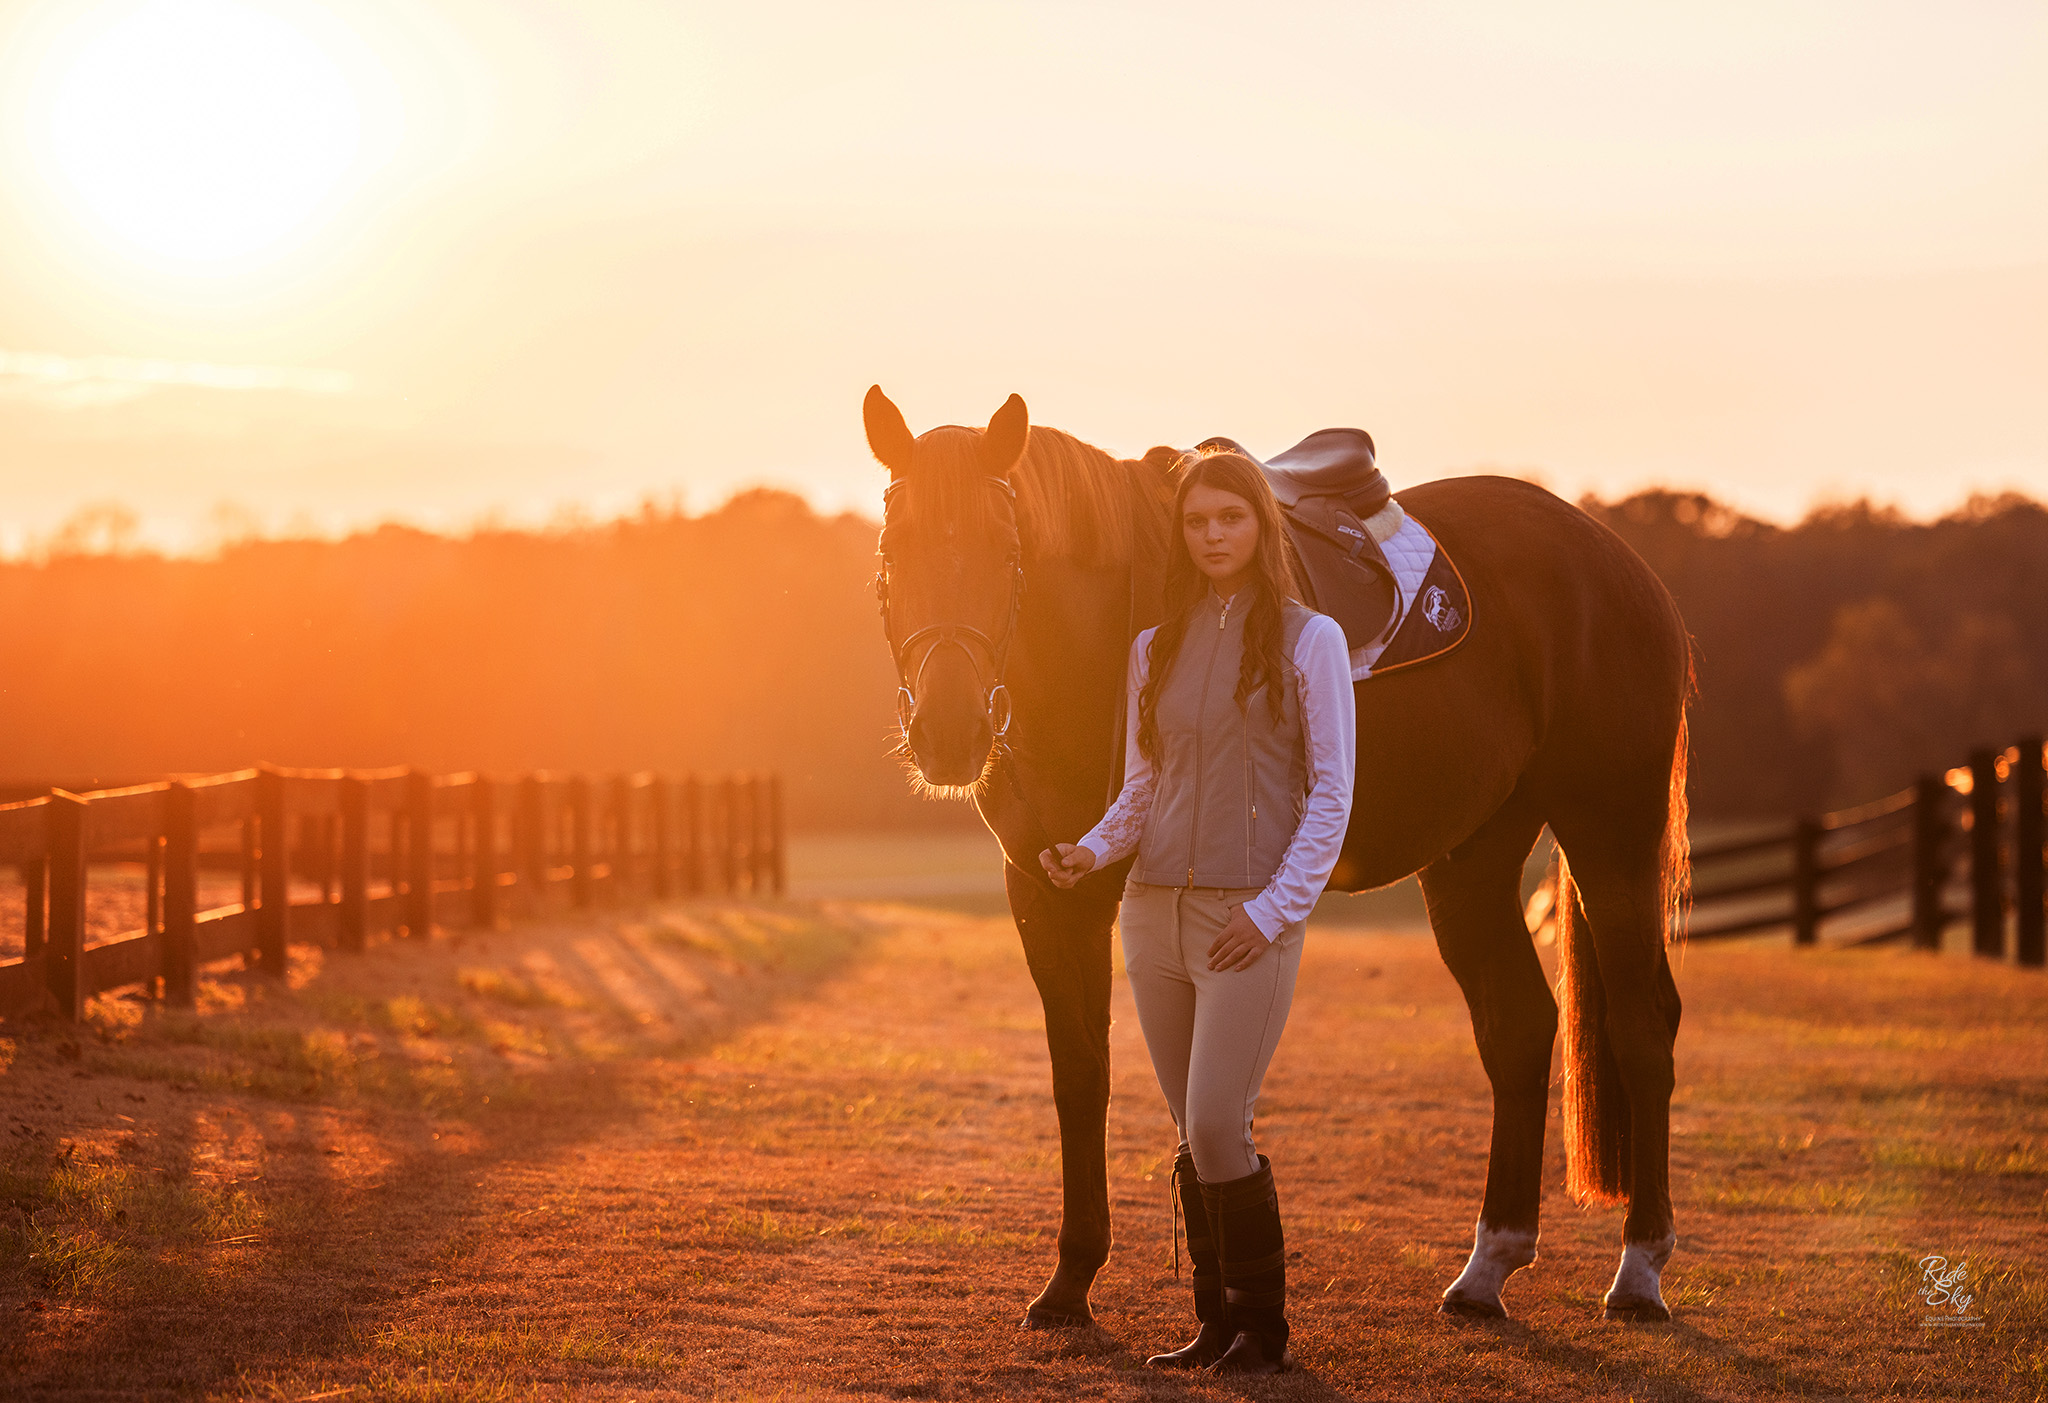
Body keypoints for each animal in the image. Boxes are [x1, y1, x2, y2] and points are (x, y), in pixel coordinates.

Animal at [868, 385, 1695, 1327]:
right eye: (893, 549)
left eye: (1005, 550)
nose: (949, 730)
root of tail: (1615, 559)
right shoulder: (1043, 885)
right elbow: (1081, 1074)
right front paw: (1071, 1280)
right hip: (1472, 856)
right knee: (1518, 1025)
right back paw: (1488, 1264)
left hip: (1610, 834)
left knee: (1643, 1025)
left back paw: (1639, 1267)